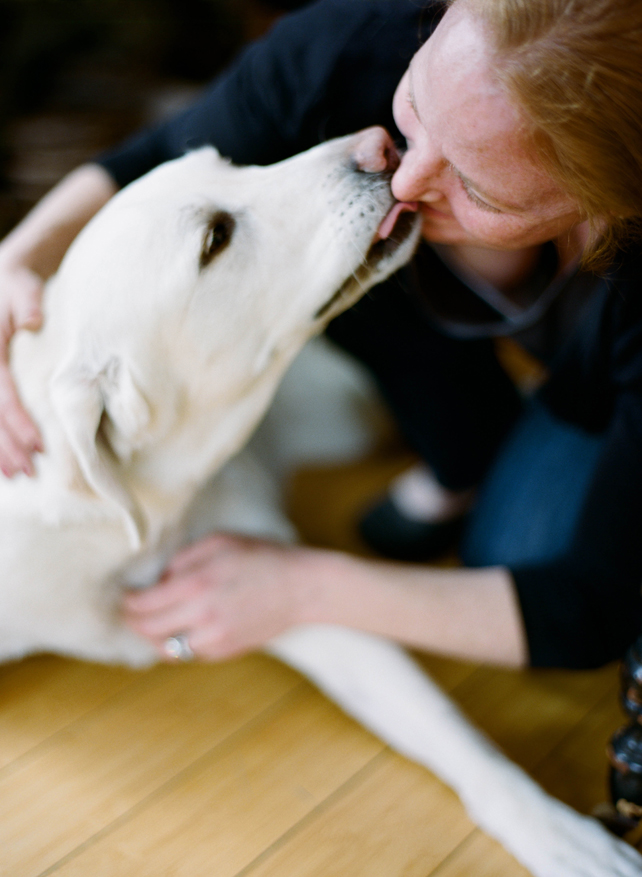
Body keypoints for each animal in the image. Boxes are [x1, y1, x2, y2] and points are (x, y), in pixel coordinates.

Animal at [1, 135, 640, 876]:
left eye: (228, 162)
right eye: (215, 238)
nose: (380, 144)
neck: (138, 514)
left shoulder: (275, 587)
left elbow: (451, 731)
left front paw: (553, 826)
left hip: (348, 413)